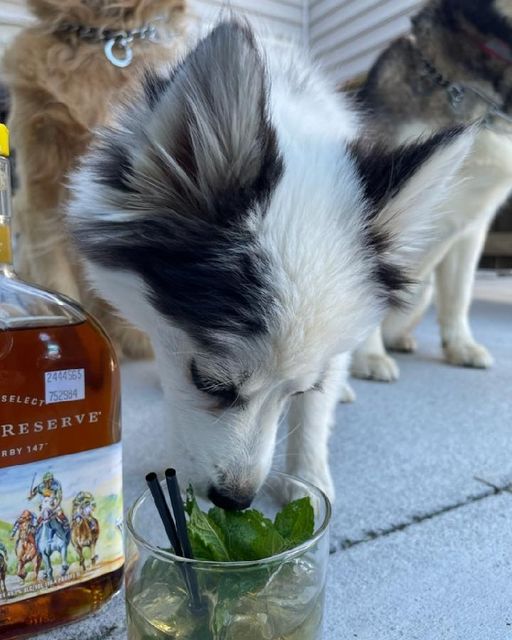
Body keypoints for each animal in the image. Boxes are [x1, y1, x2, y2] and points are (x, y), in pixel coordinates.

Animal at [67, 21, 472, 504]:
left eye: (301, 388)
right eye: (208, 382)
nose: (236, 500)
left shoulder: (329, 359)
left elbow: (313, 414)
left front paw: (308, 480)